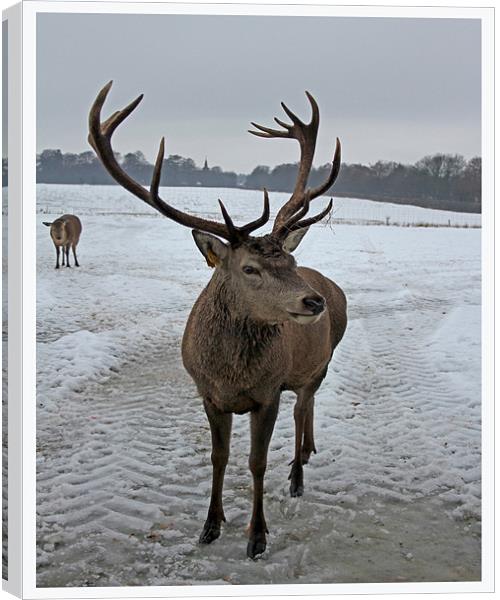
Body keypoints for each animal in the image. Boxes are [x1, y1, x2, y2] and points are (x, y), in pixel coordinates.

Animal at [89, 82, 348, 560]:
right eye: (250, 268)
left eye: (291, 261)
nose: (313, 300)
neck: (230, 375)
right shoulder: (206, 393)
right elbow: (219, 457)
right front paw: (210, 525)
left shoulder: (268, 392)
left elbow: (256, 462)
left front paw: (257, 535)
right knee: (306, 409)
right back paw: (304, 455)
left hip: (319, 365)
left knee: (303, 406)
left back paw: (298, 473)